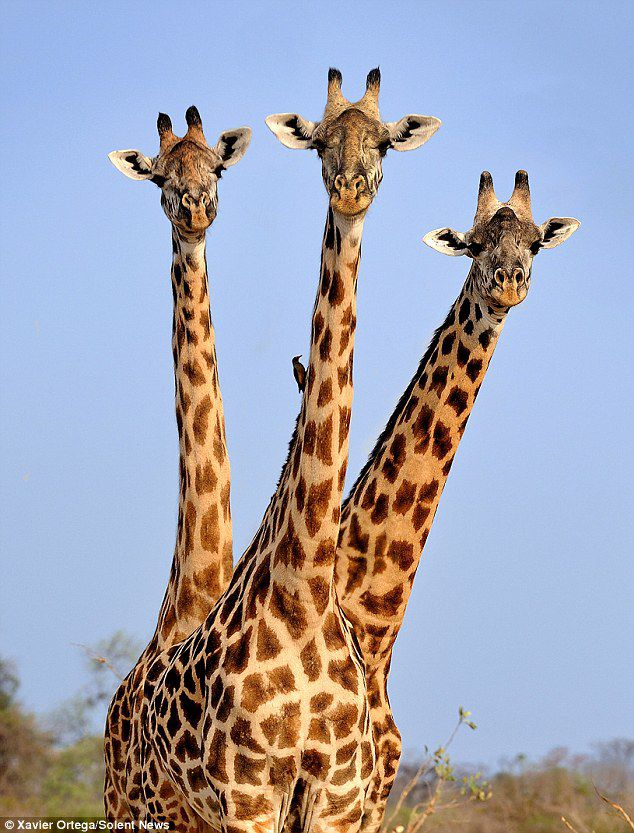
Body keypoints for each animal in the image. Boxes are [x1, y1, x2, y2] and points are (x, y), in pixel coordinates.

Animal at [138, 69, 441, 833]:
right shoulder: (248, 790)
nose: (352, 186)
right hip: (151, 802)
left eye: (384, 143)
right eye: (322, 143)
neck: (304, 589)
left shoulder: (334, 793)